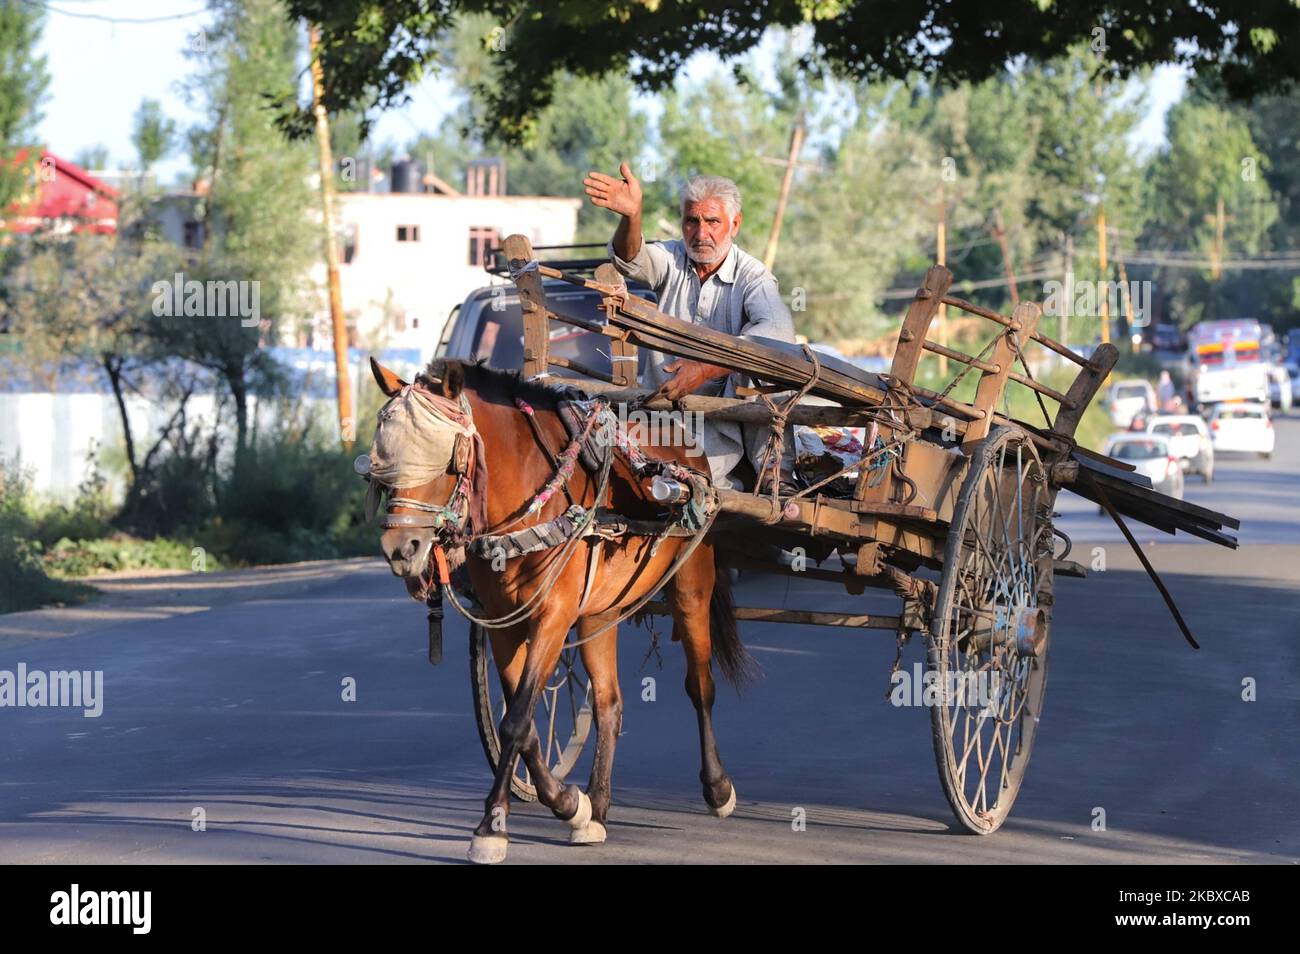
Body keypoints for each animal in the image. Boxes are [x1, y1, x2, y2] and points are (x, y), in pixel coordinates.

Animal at [364, 358, 754, 868]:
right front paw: (571, 804)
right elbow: (525, 723)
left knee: (700, 685)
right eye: (383, 462)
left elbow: (516, 721)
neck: (529, 499)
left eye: (448, 458)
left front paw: (491, 827)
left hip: (693, 580)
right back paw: (599, 808)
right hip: (598, 613)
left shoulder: (553, 615)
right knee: (609, 703)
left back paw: (717, 788)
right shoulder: (505, 622)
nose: (401, 549)